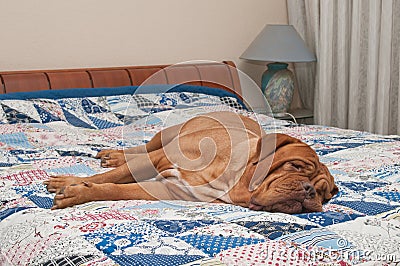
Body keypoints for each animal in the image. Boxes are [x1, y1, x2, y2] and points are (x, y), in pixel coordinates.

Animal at [44, 110, 338, 214]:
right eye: (295, 167)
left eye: (324, 194)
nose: (309, 191)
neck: (231, 178)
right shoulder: (159, 159)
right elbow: (108, 178)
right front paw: (69, 182)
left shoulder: (168, 188)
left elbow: (115, 189)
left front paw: (77, 192)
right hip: (165, 136)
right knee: (142, 148)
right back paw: (112, 154)